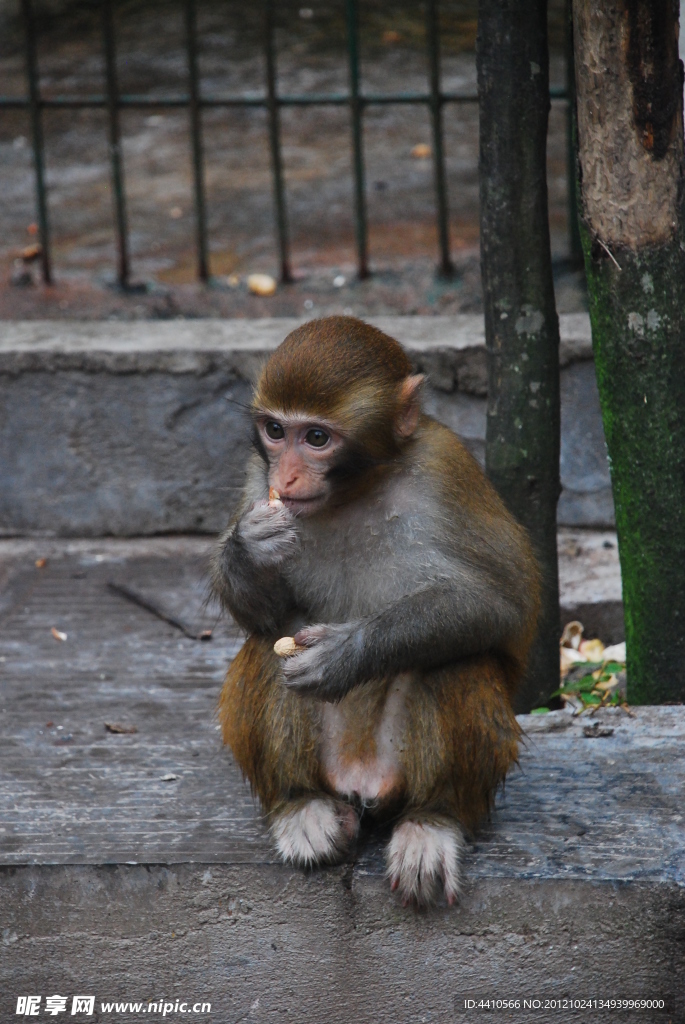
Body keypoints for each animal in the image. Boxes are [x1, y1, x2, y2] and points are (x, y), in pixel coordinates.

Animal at [210, 315, 536, 909]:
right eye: (275, 431)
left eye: (317, 438)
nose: (286, 479)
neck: (355, 489)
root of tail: (360, 781)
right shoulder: (254, 475)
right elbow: (264, 616)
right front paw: (249, 547)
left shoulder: (445, 469)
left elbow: (498, 606)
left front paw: (345, 654)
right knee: (270, 646)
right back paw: (299, 805)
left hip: (398, 770)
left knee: (459, 658)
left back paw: (433, 821)